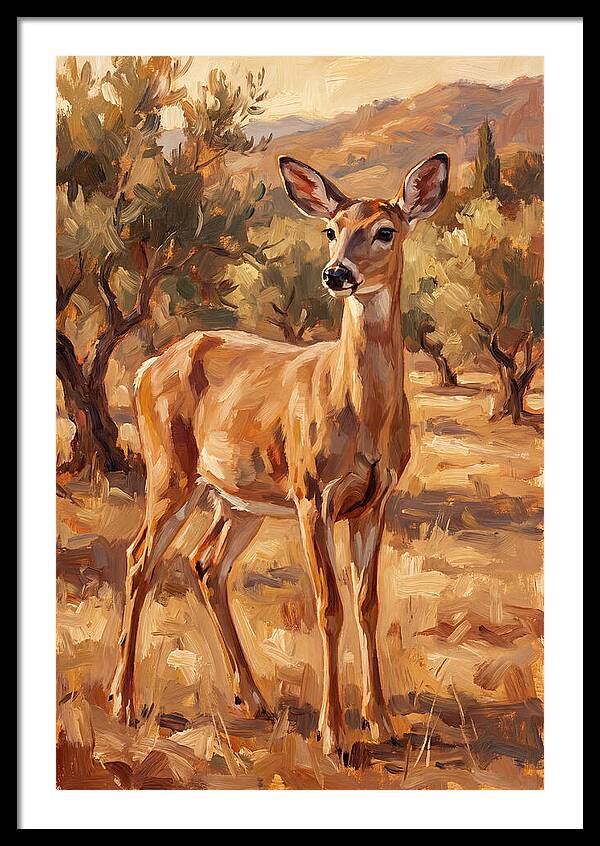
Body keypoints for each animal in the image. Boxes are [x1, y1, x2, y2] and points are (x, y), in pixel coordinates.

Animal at [109, 151, 449, 758]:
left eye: (385, 231)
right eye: (331, 230)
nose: (336, 274)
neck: (360, 410)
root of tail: (147, 367)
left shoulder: (374, 501)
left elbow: (368, 605)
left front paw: (382, 723)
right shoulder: (313, 493)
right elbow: (328, 605)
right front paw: (335, 735)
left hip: (238, 499)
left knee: (205, 564)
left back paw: (253, 697)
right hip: (170, 472)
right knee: (139, 557)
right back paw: (124, 702)